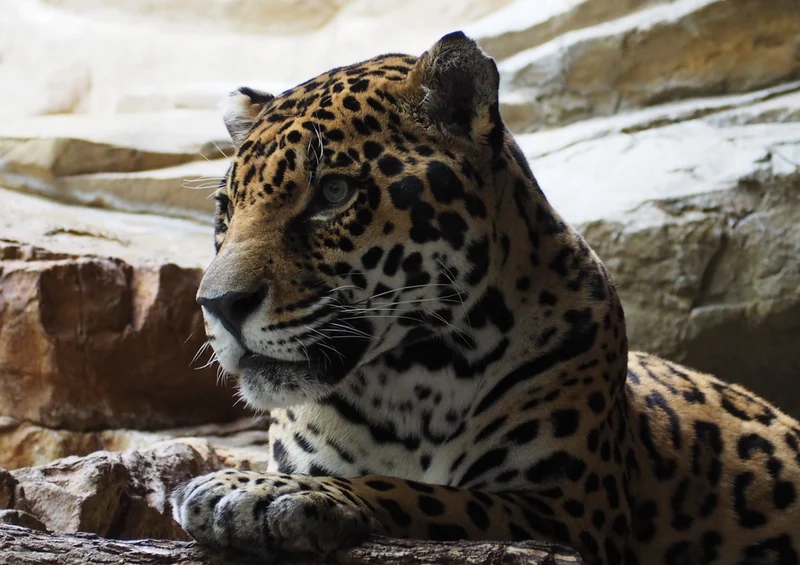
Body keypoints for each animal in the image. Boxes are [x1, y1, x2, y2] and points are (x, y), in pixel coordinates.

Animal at [171, 32, 800, 565]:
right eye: (226, 210)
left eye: (333, 192)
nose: (217, 305)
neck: (408, 382)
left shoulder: (567, 511)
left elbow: (418, 492)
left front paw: (255, 491)